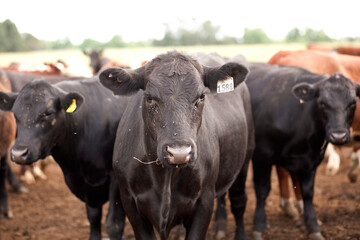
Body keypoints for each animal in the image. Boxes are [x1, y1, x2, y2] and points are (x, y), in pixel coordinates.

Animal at [0, 78, 128, 239]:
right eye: (15, 114)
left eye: (48, 113)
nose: (18, 153)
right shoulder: (86, 188)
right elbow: (93, 218)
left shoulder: (116, 180)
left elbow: (114, 224)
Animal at [100, 51, 255, 239]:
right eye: (149, 98)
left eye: (201, 97)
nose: (179, 152)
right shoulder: (129, 201)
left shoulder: (204, 200)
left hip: (245, 159)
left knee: (239, 201)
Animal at [219, 63, 358, 240]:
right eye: (322, 103)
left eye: (353, 104)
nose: (338, 136)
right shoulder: (262, 154)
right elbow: (262, 189)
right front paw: (259, 225)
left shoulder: (312, 159)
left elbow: (308, 192)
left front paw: (313, 226)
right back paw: (220, 225)